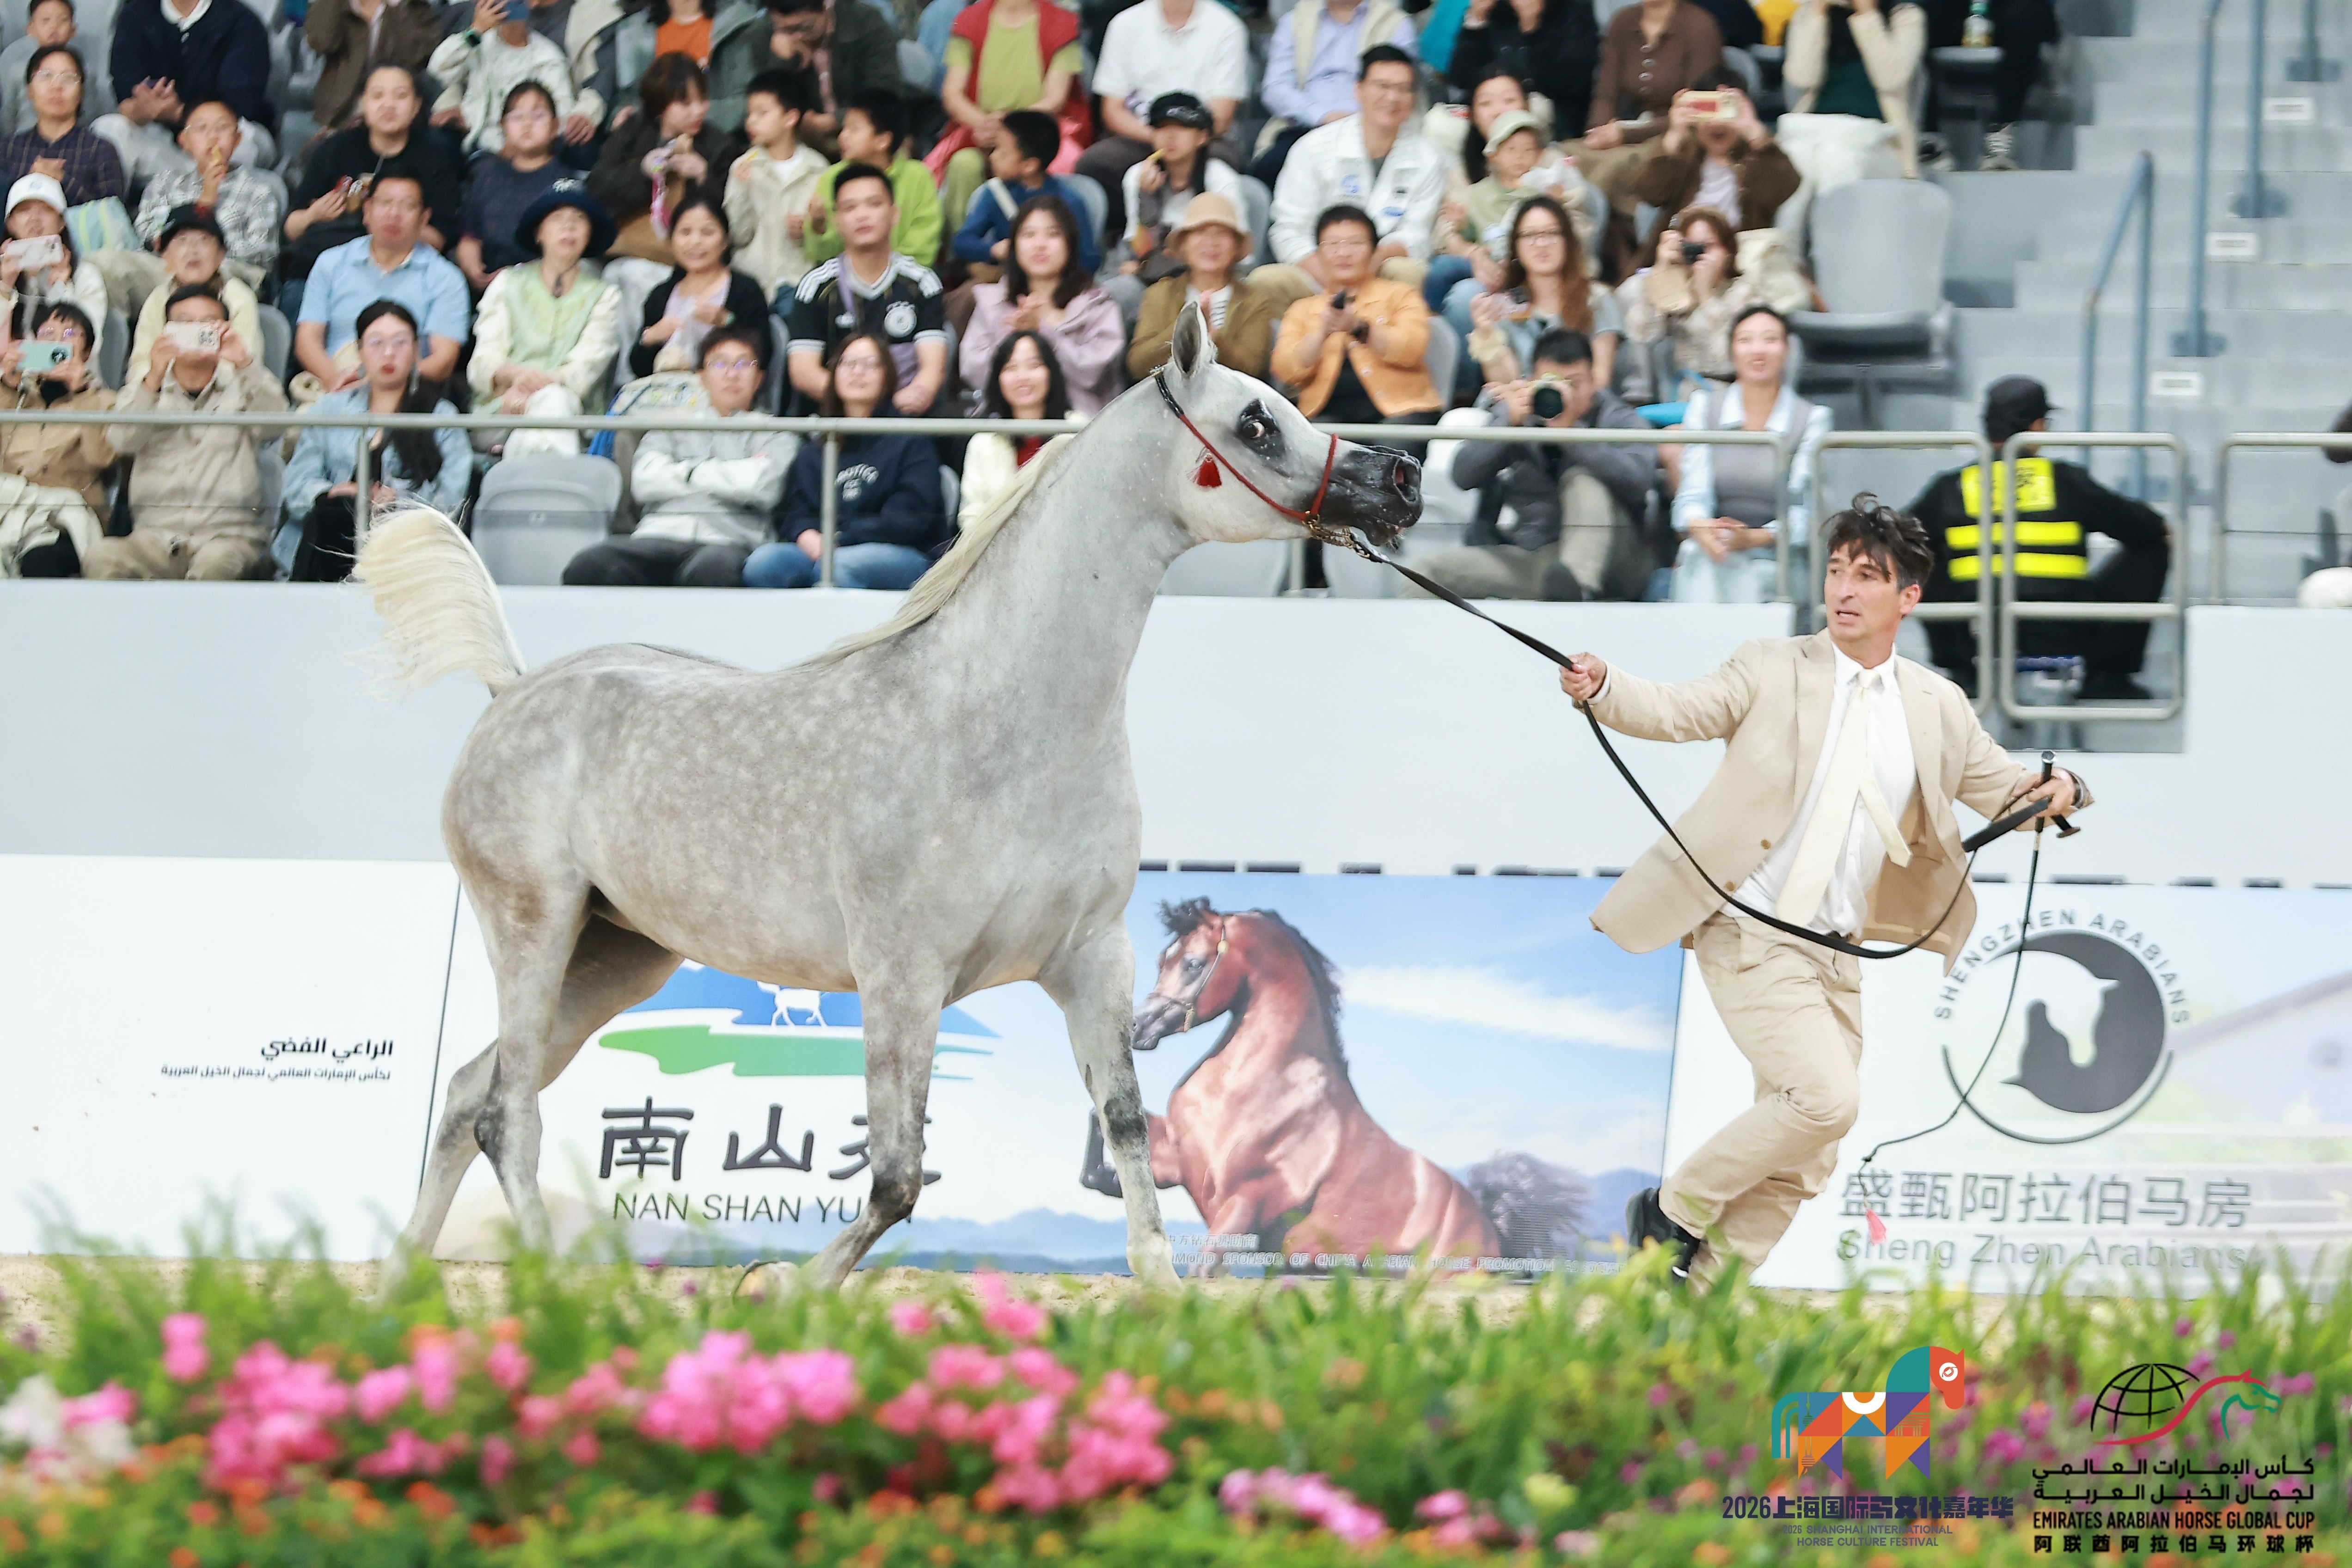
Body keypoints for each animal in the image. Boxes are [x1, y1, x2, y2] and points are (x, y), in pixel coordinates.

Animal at [352, 304, 1421, 1291]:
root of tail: (513, 690)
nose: (1403, 479)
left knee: (467, 1092)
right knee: (505, 1111)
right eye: (1255, 423)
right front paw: (786, 1286)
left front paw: (1160, 1295)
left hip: (615, 956)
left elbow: (1123, 1128)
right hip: (533, 926)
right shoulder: (902, 975)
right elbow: (899, 1176)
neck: (998, 726)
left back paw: (402, 1279)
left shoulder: (1091, 958)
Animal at [1082, 898, 1502, 1270]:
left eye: (1193, 964)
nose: (1137, 1027)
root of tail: (1491, 1233)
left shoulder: (1243, 1205)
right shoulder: (1176, 1164)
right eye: (1162, 961)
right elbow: (1100, 1125)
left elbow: (1205, 1271)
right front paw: (1110, 1178)